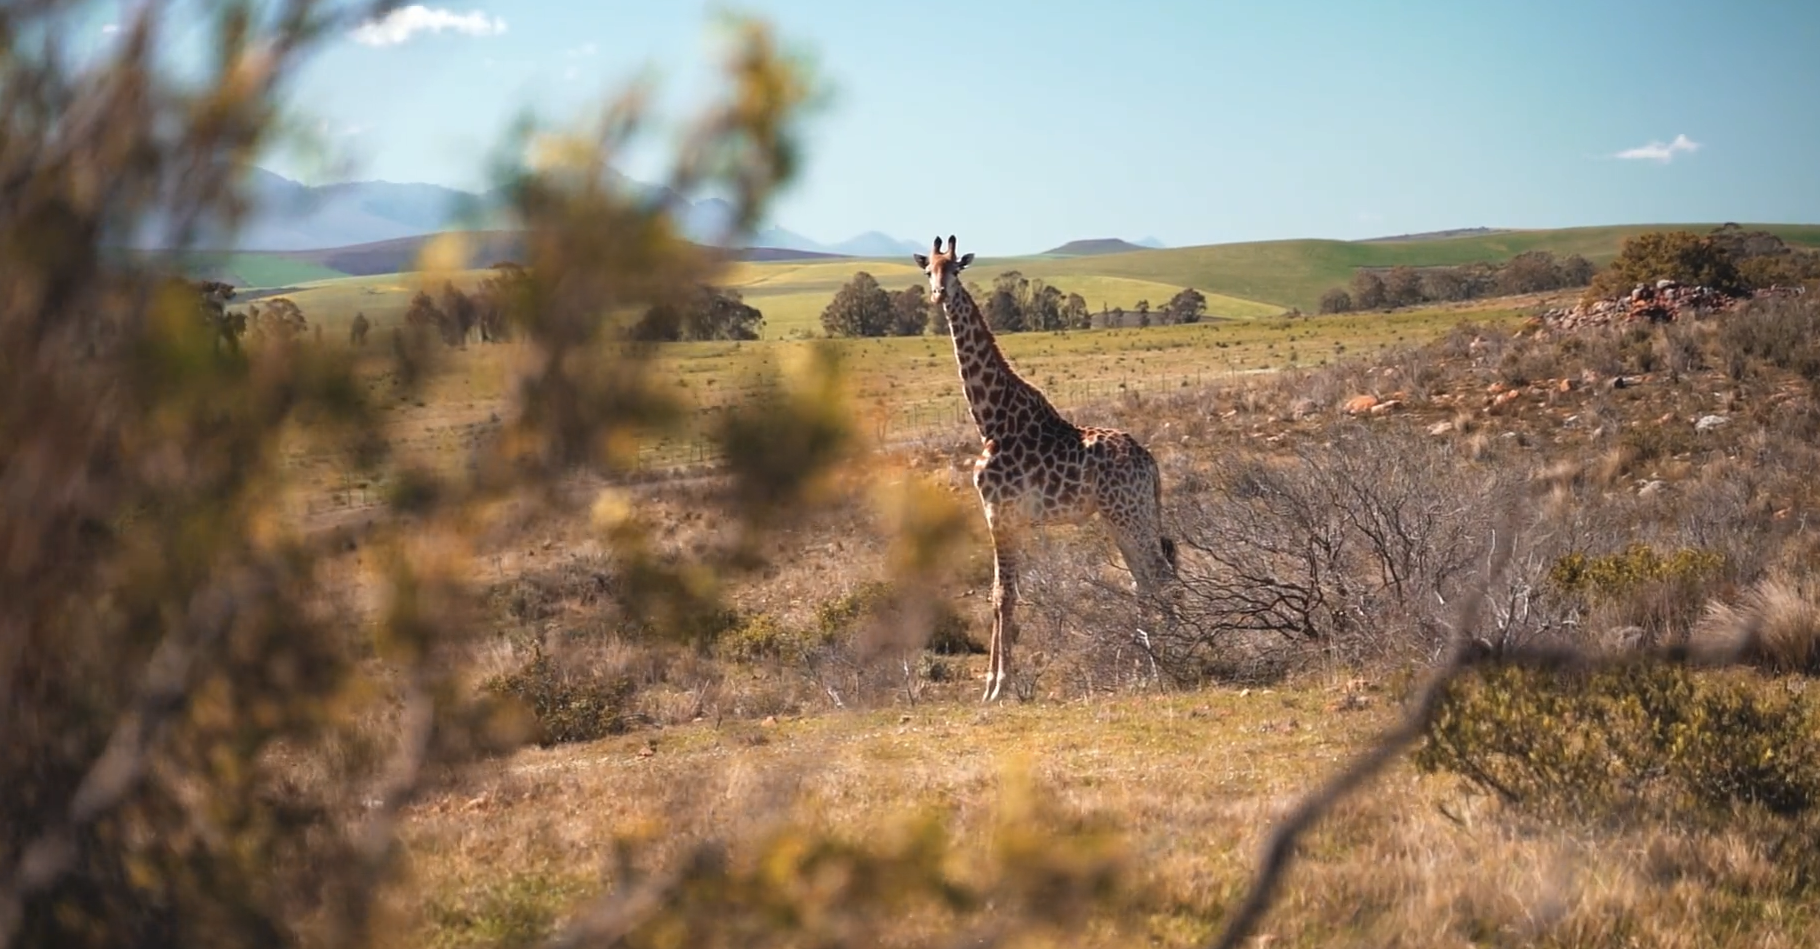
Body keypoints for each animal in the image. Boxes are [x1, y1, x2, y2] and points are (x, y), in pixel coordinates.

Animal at [913, 235, 1178, 702]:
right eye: (929, 269)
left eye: (955, 269)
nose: (939, 294)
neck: (991, 419)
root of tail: (1151, 463)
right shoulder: (1004, 516)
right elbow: (1000, 593)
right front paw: (992, 684)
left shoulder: (999, 512)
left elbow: (1003, 594)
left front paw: (999, 687)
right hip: (1123, 517)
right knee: (1144, 580)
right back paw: (1146, 668)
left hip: (1129, 514)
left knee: (1160, 576)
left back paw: (1175, 659)